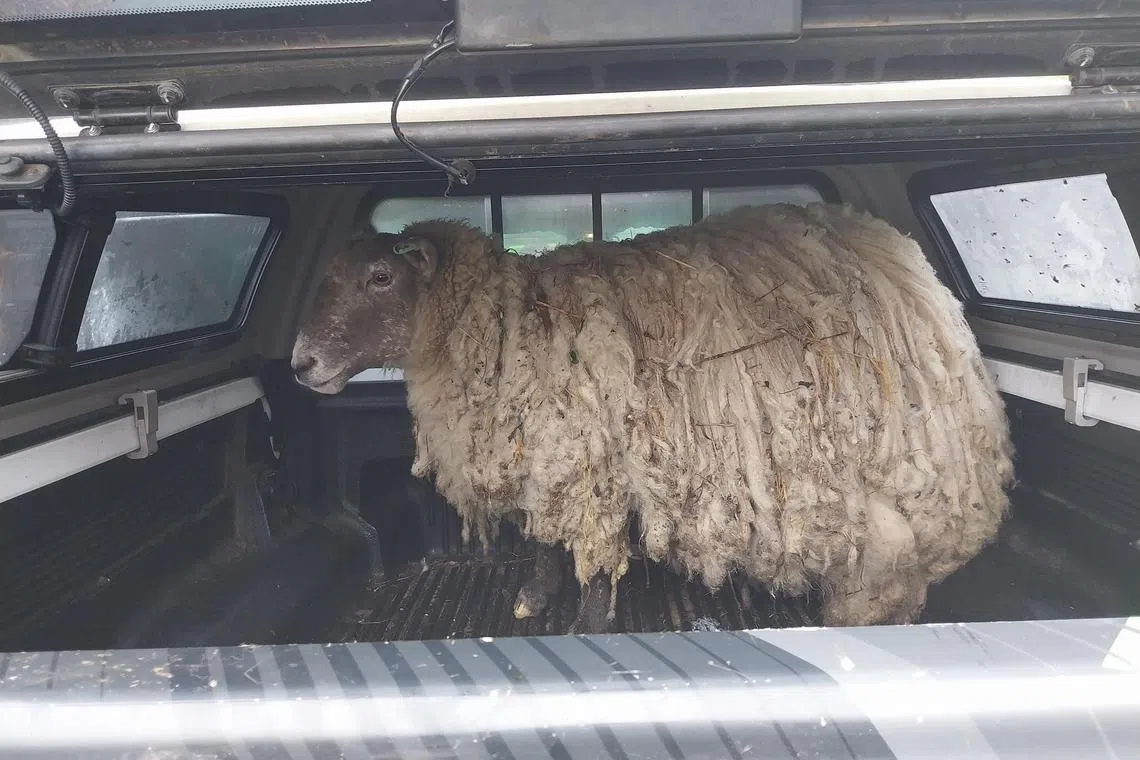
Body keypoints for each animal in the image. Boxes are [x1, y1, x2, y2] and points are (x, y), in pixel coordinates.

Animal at [292, 202, 1014, 633]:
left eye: (381, 277)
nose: (301, 363)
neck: (500, 325)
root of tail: (917, 274)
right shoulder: (543, 457)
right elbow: (540, 540)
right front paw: (532, 599)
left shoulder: (588, 465)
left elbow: (588, 556)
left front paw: (586, 625)